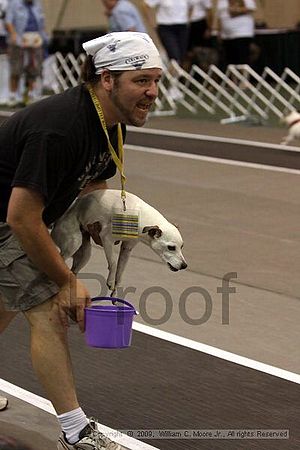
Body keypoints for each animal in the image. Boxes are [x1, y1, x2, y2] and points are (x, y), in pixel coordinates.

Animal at [51, 190, 188, 296]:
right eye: (171, 247)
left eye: (181, 247)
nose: (184, 266)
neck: (138, 215)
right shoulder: (106, 239)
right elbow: (113, 263)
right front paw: (110, 281)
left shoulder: (127, 249)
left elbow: (120, 272)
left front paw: (115, 291)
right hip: (74, 243)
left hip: (85, 254)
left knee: (72, 271)